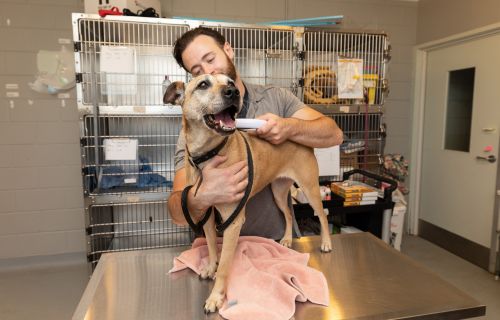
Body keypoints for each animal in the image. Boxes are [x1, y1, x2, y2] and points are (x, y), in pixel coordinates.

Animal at [164, 74, 332, 312]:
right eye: (203, 84)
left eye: (229, 82)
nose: (232, 92)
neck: (208, 155)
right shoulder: (205, 212)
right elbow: (211, 246)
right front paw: (210, 266)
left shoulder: (233, 221)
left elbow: (225, 266)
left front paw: (216, 297)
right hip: (278, 192)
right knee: (288, 215)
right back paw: (287, 240)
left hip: (310, 189)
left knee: (322, 215)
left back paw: (326, 242)